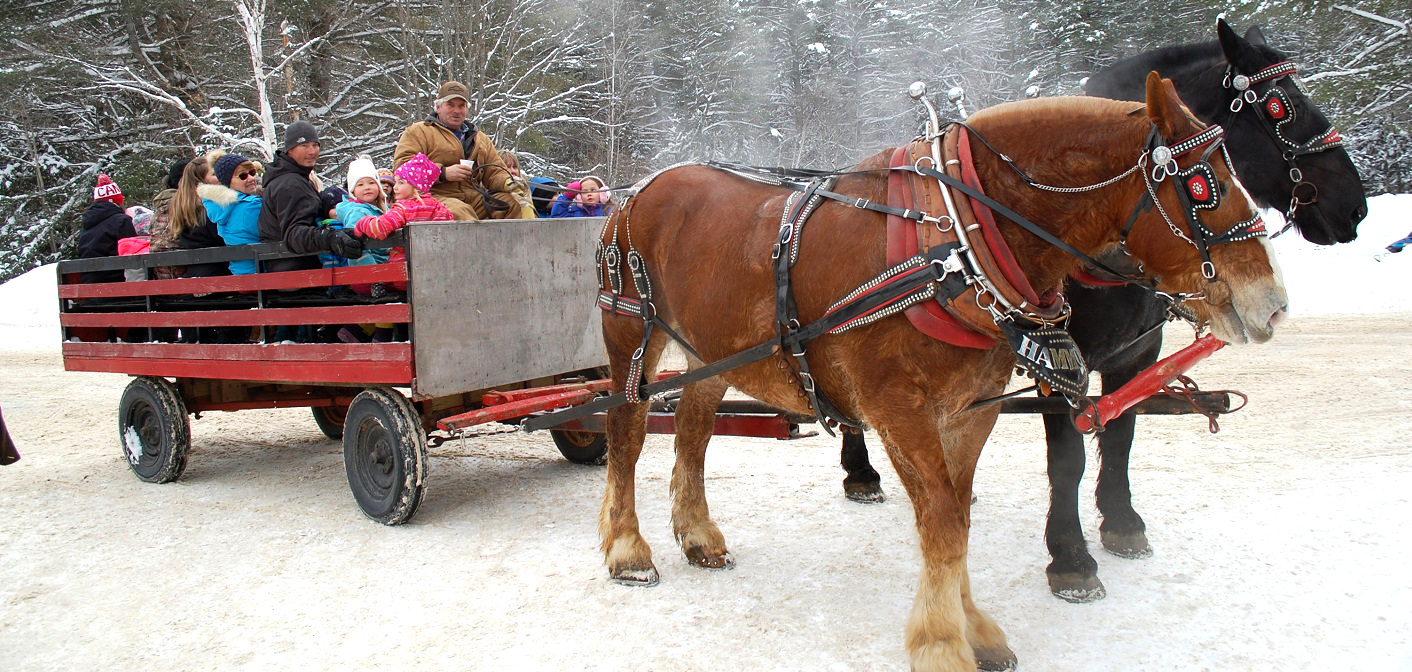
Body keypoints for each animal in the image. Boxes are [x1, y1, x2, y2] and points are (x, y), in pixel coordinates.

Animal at [594, 73, 1287, 671]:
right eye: (1204, 188)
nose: (1274, 303)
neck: (956, 243)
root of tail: (638, 189)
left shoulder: (969, 410)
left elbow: (957, 518)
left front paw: (975, 630)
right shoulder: (899, 413)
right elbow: (944, 524)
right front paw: (942, 644)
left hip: (710, 352)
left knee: (691, 431)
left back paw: (698, 534)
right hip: (631, 332)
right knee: (627, 431)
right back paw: (628, 550)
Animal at [836, 19, 1367, 603]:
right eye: (1280, 106)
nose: (1353, 206)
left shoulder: (1137, 351)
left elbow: (1121, 433)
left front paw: (1121, 522)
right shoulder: (1062, 358)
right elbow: (1068, 456)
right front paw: (1070, 556)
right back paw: (860, 471)